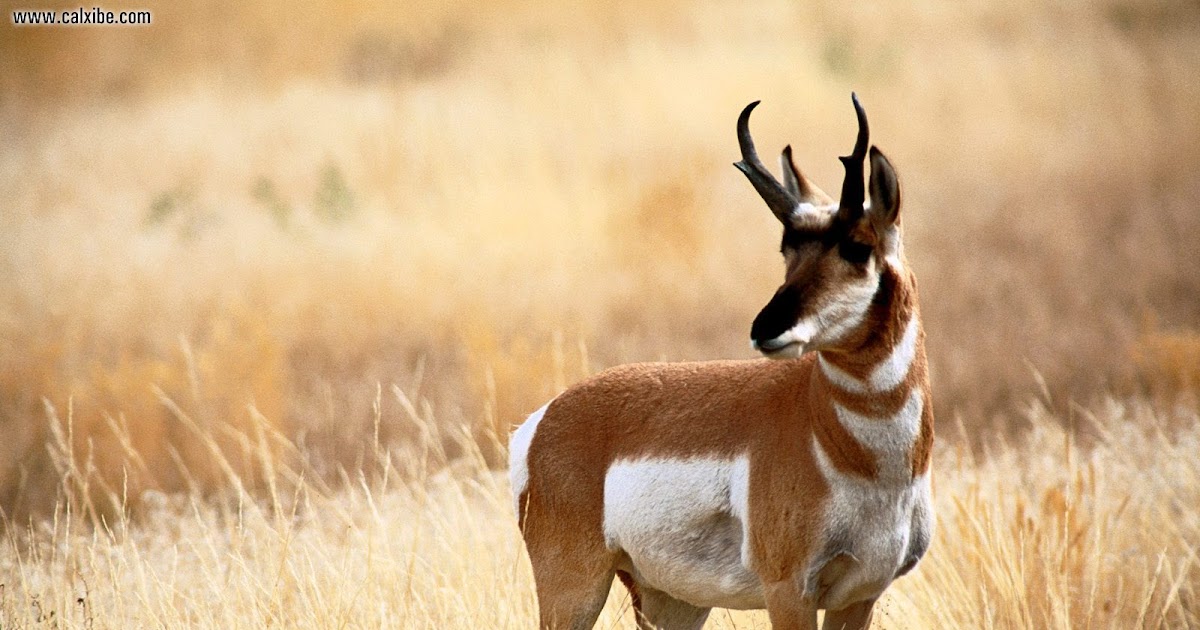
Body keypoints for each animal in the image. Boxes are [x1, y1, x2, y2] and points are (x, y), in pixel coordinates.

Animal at [509, 94, 934, 630]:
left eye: (858, 247)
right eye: (787, 247)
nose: (766, 328)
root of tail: (543, 420)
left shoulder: (860, 596)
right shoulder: (788, 591)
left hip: (671, 602)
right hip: (575, 590)